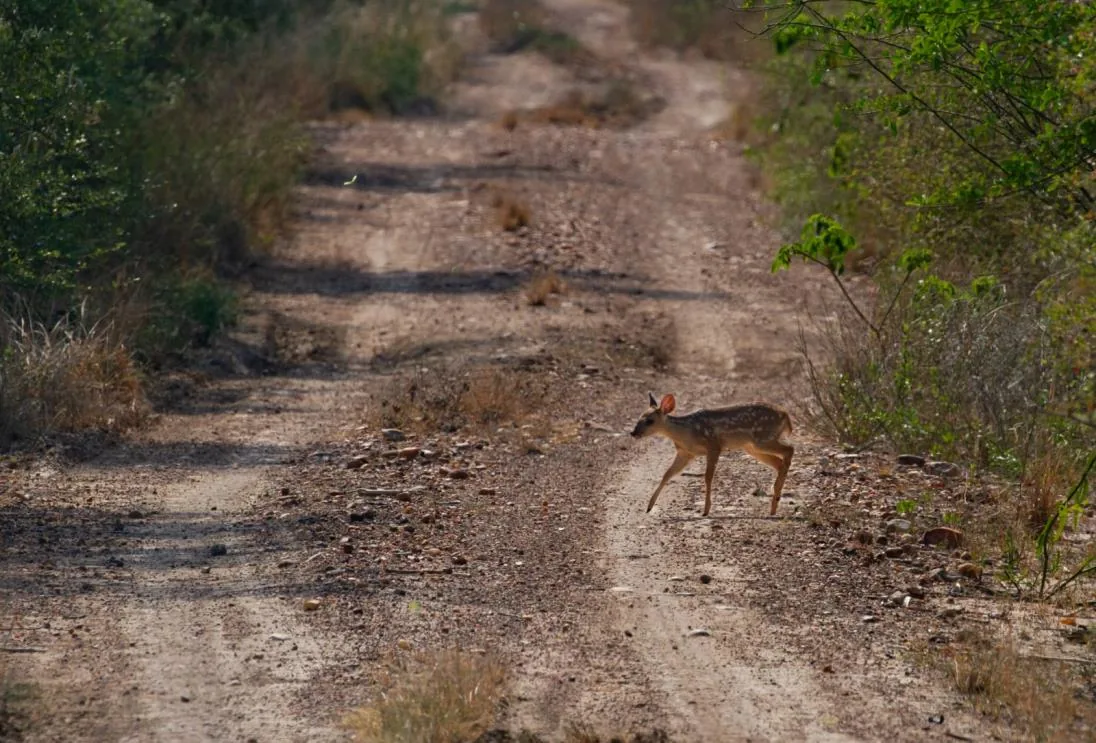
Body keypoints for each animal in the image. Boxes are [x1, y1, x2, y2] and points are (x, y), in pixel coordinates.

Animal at [630, 393, 794, 517]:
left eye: (650, 421)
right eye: (639, 417)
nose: (633, 433)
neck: (686, 432)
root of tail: (786, 415)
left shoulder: (713, 445)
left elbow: (708, 477)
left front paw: (706, 510)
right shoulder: (686, 453)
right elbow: (667, 474)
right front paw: (649, 507)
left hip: (763, 438)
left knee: (789, 449)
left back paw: (776, 497)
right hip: (752, 447)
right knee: (779, 462)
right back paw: (773, 505)